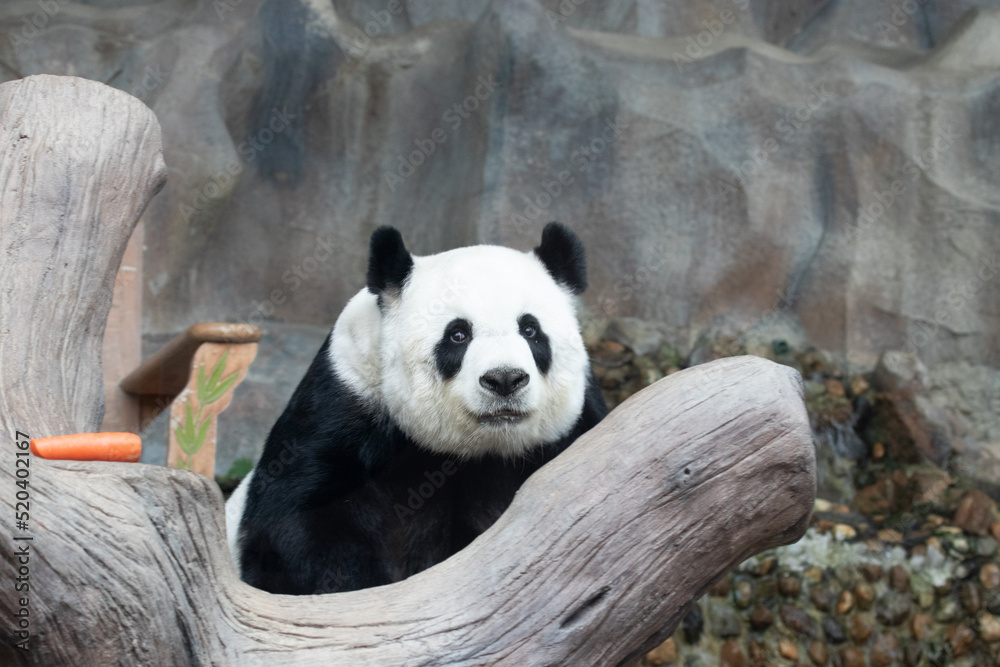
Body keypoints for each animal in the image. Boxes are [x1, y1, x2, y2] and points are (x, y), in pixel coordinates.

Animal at [225, 222, 608, 595]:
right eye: (458, 335)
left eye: (530, 330)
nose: (504, 379)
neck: (479, 449)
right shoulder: (344, 402)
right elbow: (296, 527)